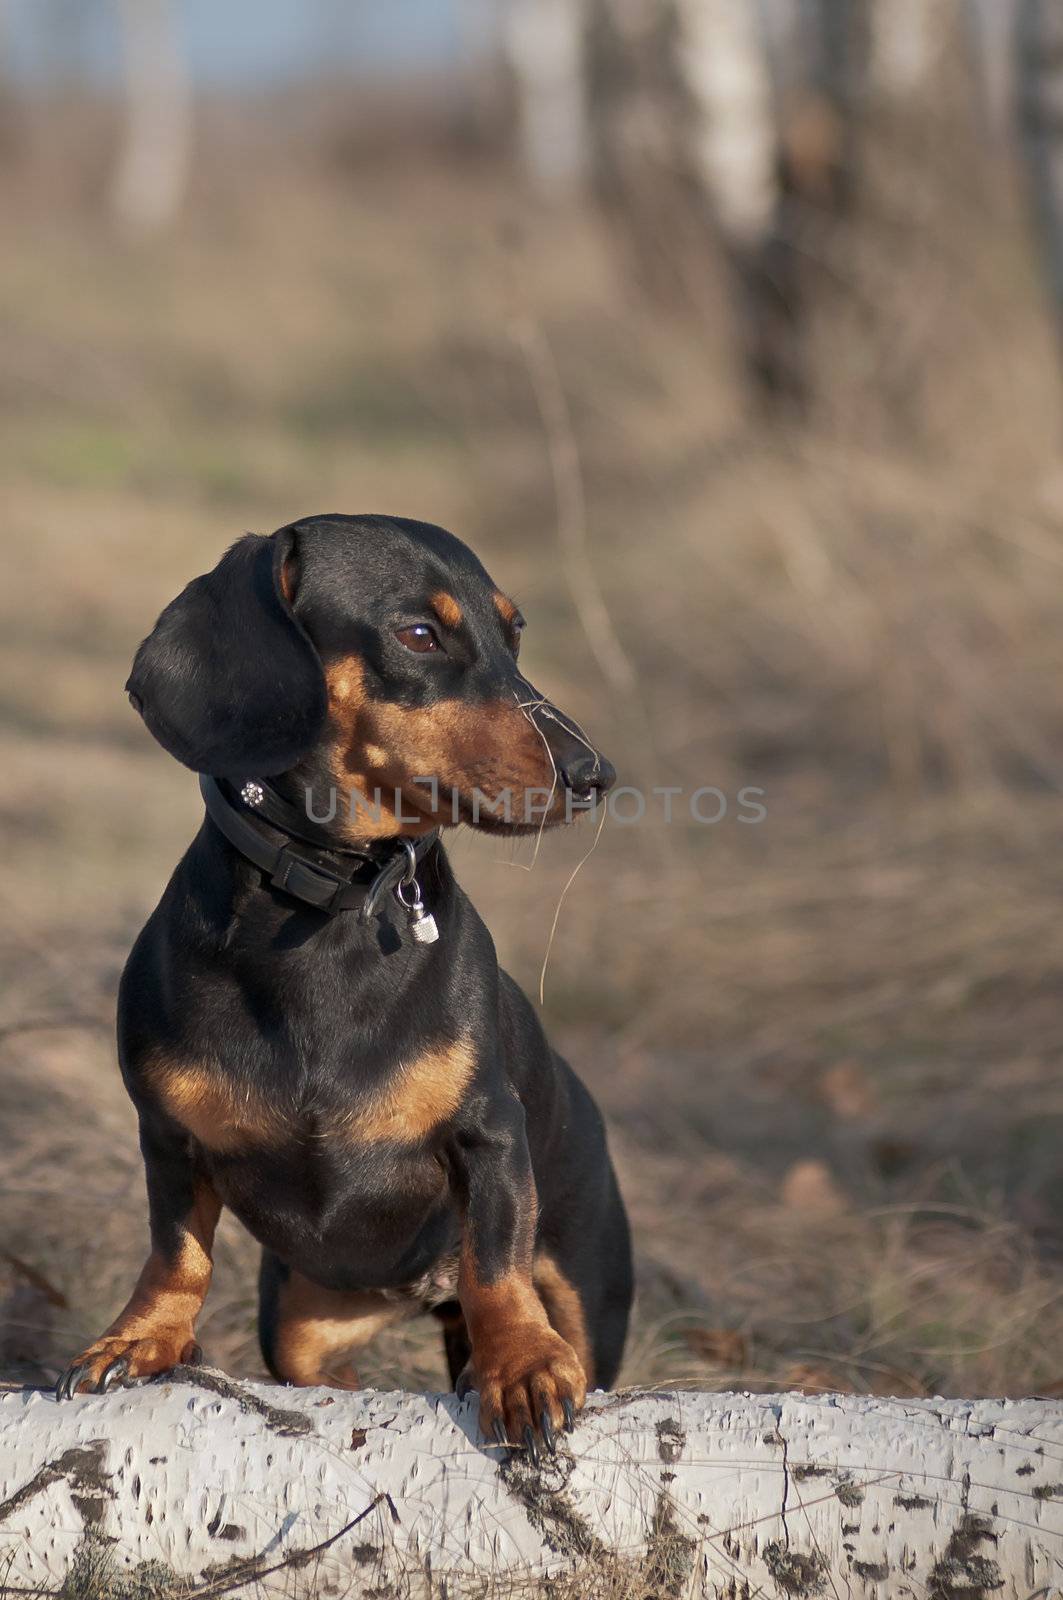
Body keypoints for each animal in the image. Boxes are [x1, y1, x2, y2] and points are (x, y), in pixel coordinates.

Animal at [56, 515, 630, 1465]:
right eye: (420, 634)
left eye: (513, 634)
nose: (593, 774)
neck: (331, 906)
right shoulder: (167, 1137)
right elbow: (176, 1252)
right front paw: (141, 1338)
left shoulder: (489, 1135)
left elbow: (496, 1265)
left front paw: (519, 1366)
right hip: (300, 1320)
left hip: (586, 1283)